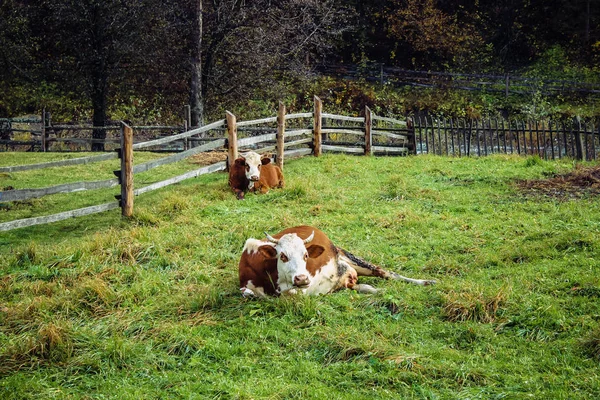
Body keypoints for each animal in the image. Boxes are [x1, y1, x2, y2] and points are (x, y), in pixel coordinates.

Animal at [239, 225, 436, 296]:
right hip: (347, 277)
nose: (302, 279)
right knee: (365, 287)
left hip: (347, 255)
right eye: (283, 256)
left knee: (384, 272)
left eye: (306, 255)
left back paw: (426, 282)